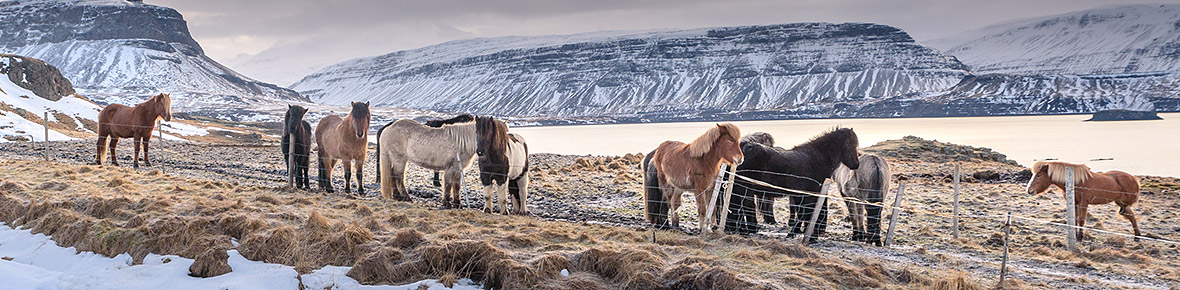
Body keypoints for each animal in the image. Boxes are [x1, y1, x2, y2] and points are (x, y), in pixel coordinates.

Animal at [717, 129, 859, 242]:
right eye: (851, 144)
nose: (856, 165)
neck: (817, 157)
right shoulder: (809, 195)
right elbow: (806, 214)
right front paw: (808, 237)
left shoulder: (803, 194)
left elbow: (803, 213)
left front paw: (796, 233)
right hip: (741, 188)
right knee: (736, 207)